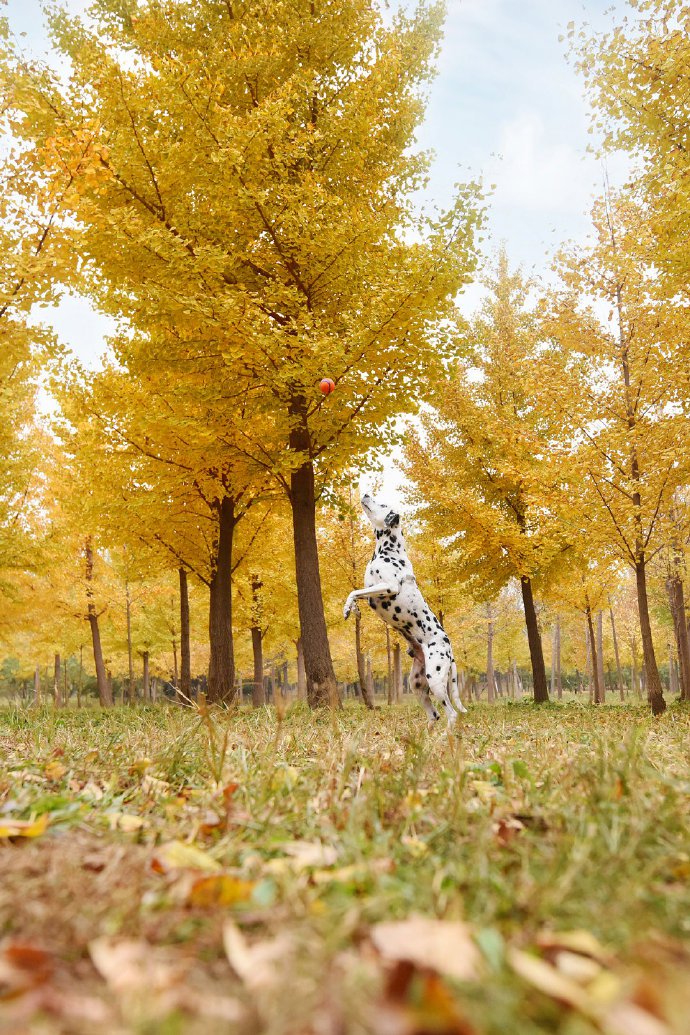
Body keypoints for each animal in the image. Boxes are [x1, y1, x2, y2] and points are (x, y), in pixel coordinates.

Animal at [343, 494, 467, 724]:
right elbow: (355, 593)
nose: (366, 494)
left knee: (451, 714)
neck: (389, 551)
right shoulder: (370, 591)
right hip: (416, 683)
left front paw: (349, 608)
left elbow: (353, 591)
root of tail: (450, 650)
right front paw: (352, 610)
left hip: (436, 680)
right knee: (434, 715)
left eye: (383, 504)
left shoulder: (388, 587)